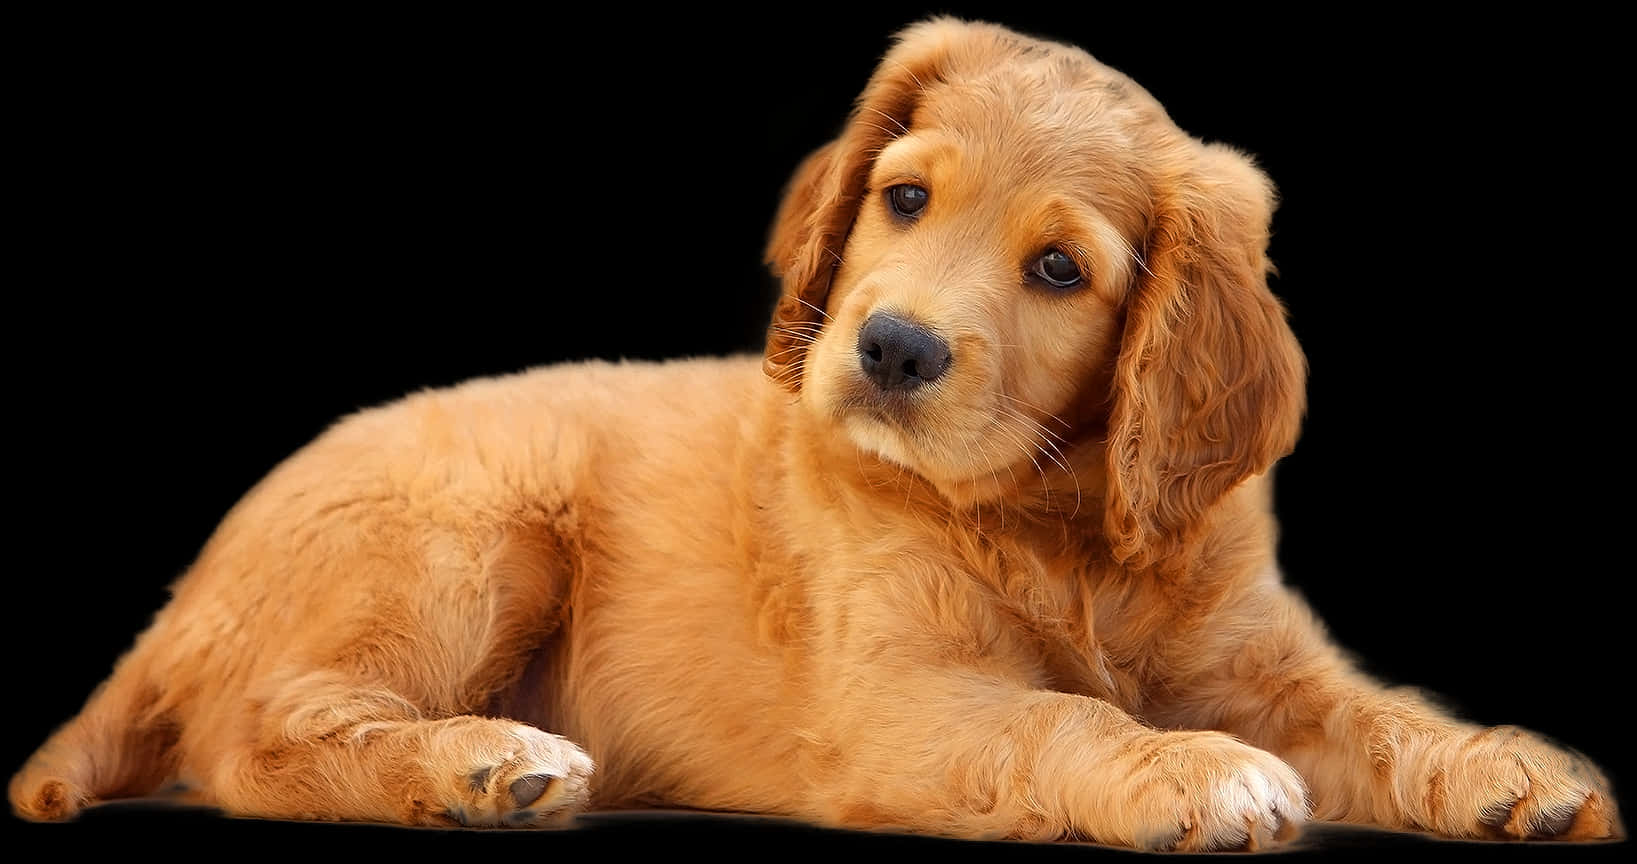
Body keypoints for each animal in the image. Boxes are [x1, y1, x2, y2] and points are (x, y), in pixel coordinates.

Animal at [9, 18, 1623, 850]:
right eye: (904, 197)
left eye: (1059, 271)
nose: (891, 348)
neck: (1057, 520)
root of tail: (189, 596)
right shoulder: (895, 701)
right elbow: (1064, 717)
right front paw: (1189, 773)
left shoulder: (1260, 659)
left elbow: (1375, 713)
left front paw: (1503, 767)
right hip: (467, 536)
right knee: (257, 738)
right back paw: (476, 767)